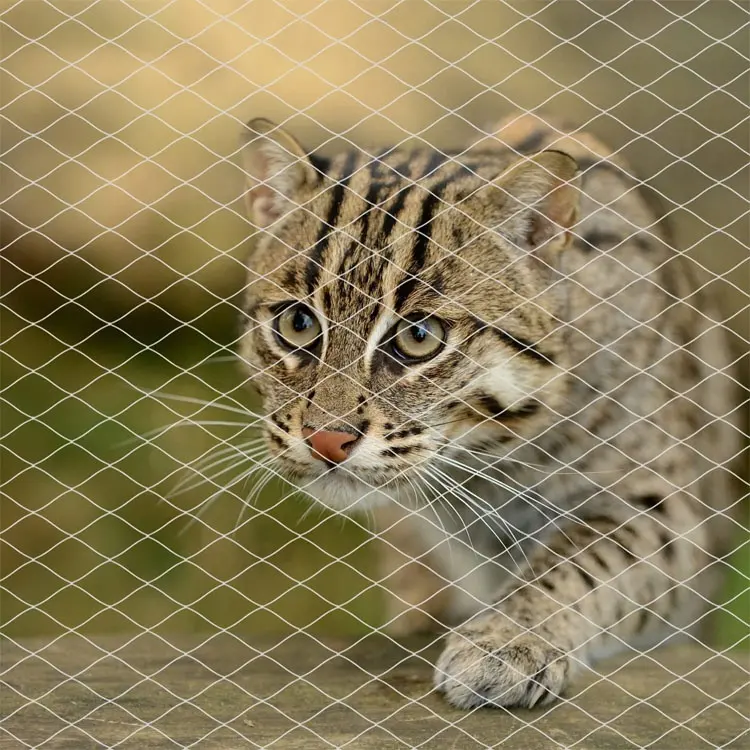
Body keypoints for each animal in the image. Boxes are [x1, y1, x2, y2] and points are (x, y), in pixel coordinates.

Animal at [238, 113, 744, 712]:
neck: (488, 460)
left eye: (419, 337)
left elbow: (582, 560)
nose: (325, 439)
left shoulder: (667, 507)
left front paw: (509, 639)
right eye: (297, 324)